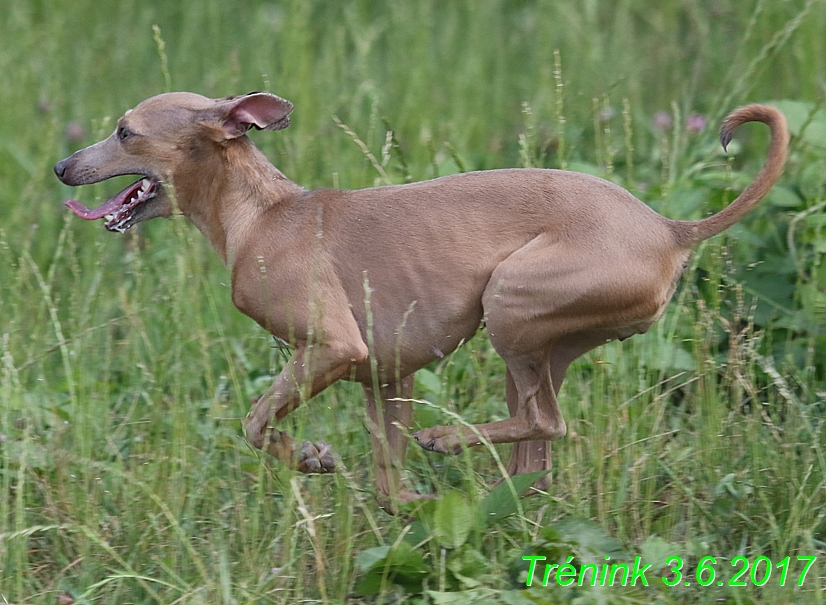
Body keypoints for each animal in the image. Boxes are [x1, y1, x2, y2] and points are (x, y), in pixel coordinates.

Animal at [53, 93, 784, 510]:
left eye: (124, 131)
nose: (61, 167)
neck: (264, 216)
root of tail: (670, 226)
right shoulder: (386, 374)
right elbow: (387, 483)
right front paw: (407, 502)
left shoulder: (332, 348)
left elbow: (255, 423)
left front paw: (310, 457)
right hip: (539, 344)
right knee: (537, 458)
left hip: (509, 305)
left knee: (546, 424)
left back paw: (450, 439)